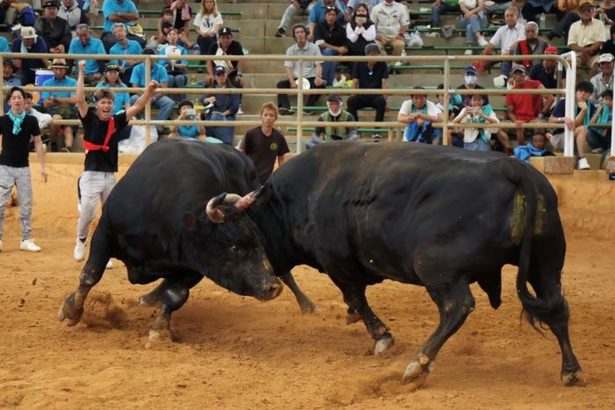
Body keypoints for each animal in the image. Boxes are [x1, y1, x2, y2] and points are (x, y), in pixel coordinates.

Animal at [247, 141, 584, 388]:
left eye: (252, 230)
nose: (265, 282)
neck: (303, 194)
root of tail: (512, 166)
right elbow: (355, 299)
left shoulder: (337, 262)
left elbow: (355, 296)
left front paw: (381, 337)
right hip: (546, 265)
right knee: (557, 309)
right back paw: (571, 369)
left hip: (437, 269)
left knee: (457, 307)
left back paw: (418, 363)